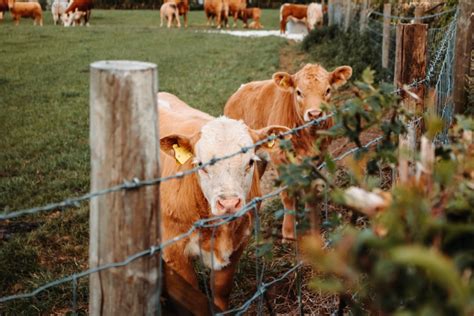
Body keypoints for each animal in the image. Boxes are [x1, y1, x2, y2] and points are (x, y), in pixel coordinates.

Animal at [158, 92, 288, 312]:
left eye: (250, 161)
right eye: (201, 165)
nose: (229, 204)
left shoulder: (239, 241)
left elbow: (221, 288)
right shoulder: (175, 252)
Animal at [223, 65, 352, 242]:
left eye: (327, 90)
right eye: (298, 92)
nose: (315, 114)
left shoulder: (318, 157)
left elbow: (309, 190)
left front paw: (309, 219)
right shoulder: (279, 160)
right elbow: (288, 195)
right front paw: (289, 234)